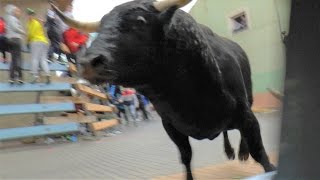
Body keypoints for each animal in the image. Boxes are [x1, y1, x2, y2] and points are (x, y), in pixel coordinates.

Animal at [52, 0, 276, 179]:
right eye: (102, 26)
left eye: (140, 21)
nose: (88, 62)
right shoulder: (171, 127)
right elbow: (186, 158)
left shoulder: (246, 115)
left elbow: (259, 152)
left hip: (249, 99)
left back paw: (241, 152)